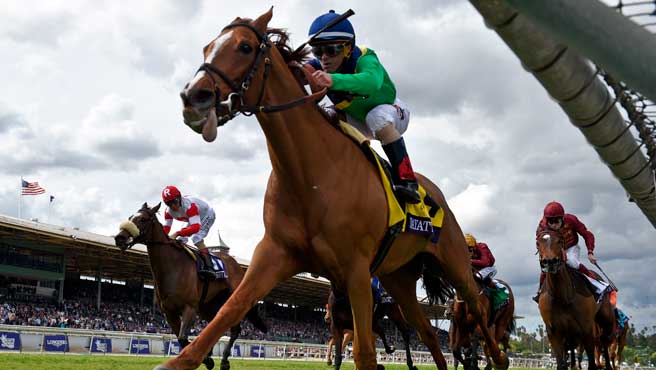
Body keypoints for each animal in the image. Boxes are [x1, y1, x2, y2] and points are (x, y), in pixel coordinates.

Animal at [114, 202, 266, 370]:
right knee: (215, 327)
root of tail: (237, 265)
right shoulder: (169, 312)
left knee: (235, 329)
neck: (173, 267)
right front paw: (206, 358)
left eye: (142, 219)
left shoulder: (189, 308)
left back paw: (225, 361)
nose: (120, 237)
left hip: (232, 301)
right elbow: (182, 339)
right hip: (207, 307)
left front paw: (206, 359)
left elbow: (183, 338)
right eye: (130, 217)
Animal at [160, 8, 512, 370]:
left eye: (244, 47)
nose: (193, 97)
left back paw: (499, 357)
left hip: (456, 266)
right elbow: (228, 312)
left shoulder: (356, 271)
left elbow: (364, 352)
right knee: (428, 333)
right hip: (398, 279)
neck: (310, 175)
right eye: (207, 48)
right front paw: (181, 359)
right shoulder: (273, 254)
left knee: (478, 312)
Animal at [536, 230, 616, 370]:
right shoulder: (554, 331)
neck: (563, 297)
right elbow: (561, 363)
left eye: (559, 241)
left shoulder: (586, 328)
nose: (550, 262)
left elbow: (591, 362)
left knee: (604, 340)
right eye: (538, 243)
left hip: (605, 319)